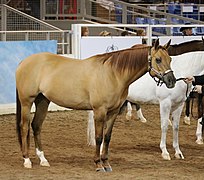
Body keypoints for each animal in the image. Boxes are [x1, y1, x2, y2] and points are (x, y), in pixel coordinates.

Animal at [15, 39, 175, 172]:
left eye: (170, 59)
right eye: (158, 59)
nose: (171, 81)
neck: (113, 74)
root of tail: (23, 62)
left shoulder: (113, 112)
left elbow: (107, 137)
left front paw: (106, 163)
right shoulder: (100, 111)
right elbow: (98, 137)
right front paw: (98, 164)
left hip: (42, 101)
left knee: (36, 126)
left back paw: (43, 159)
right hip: (27, 102)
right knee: (25, 127)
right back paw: (27, 160)